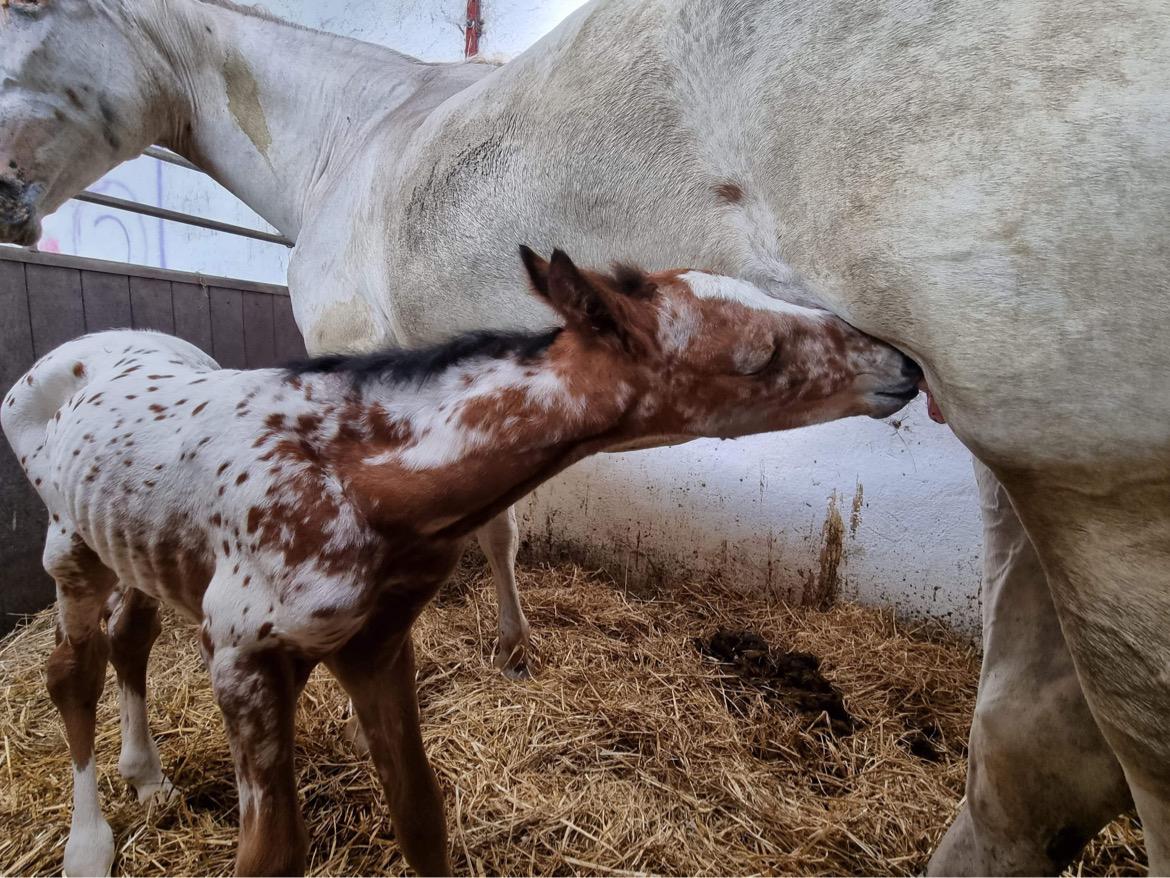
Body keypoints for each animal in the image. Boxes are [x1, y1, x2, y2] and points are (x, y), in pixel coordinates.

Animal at [0, 249, 917, 878]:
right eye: (759, 352)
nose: (904, 367)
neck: (362, 478)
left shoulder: (376, 642)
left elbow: (420, 811)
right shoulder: (243, 659)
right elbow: (273, 856)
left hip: (138, 549)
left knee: (132, 639)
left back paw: (148, 779)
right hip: (69, 548)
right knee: (71, 672)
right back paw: (89, 844)